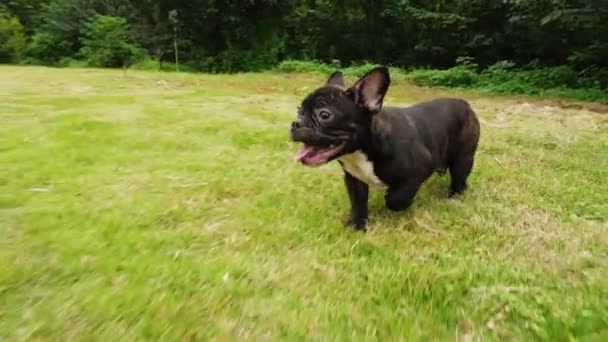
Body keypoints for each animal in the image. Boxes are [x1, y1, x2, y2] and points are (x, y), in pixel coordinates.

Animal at [288, 65, 480, 231]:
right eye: (299, 111)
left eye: (325, 115)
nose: (295, 123)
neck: (360, 152)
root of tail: (466, 104)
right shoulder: (354, 178)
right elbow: (357, 202)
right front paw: (357, 224)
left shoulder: (420, 169)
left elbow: (396, 199)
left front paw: (393, 200)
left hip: (463, 158)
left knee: (459, 177)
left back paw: (454, 194)